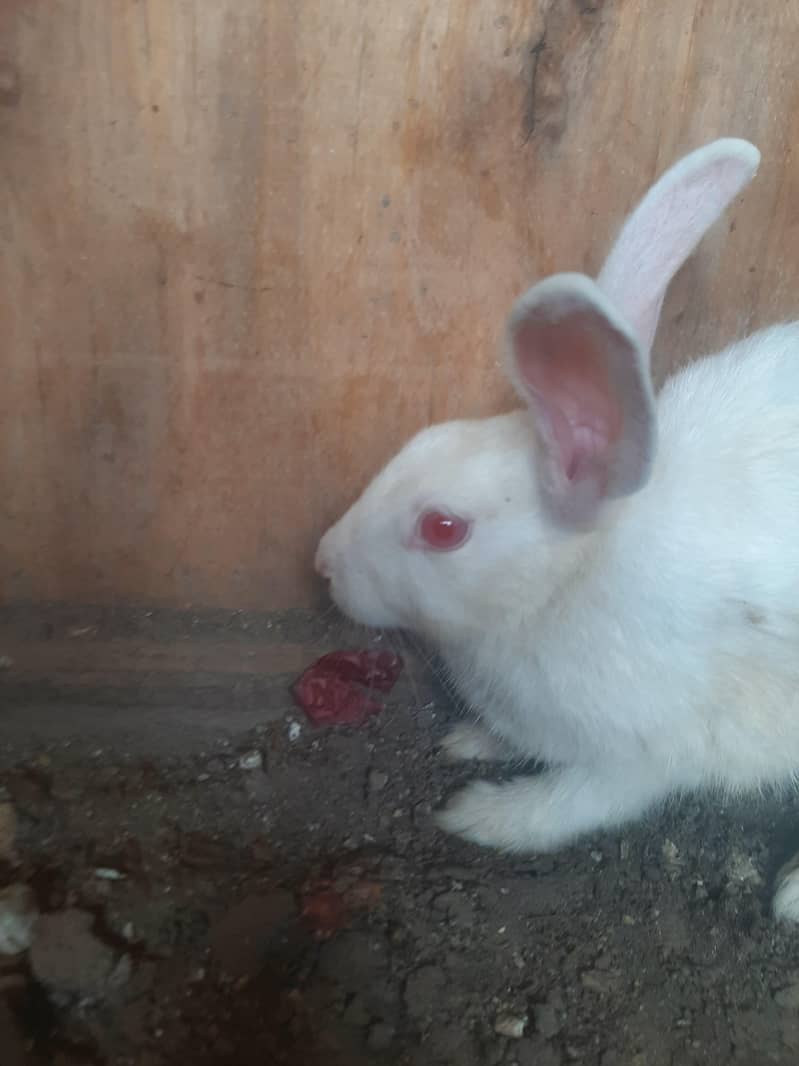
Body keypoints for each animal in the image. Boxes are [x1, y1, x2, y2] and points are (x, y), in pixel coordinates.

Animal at [315, 138, 799, 923]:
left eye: (443, 528)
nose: (325, 564)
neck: (568, 581)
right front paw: (471, 741)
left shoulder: (639, 756)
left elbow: (571, 806)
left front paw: (479, 816)